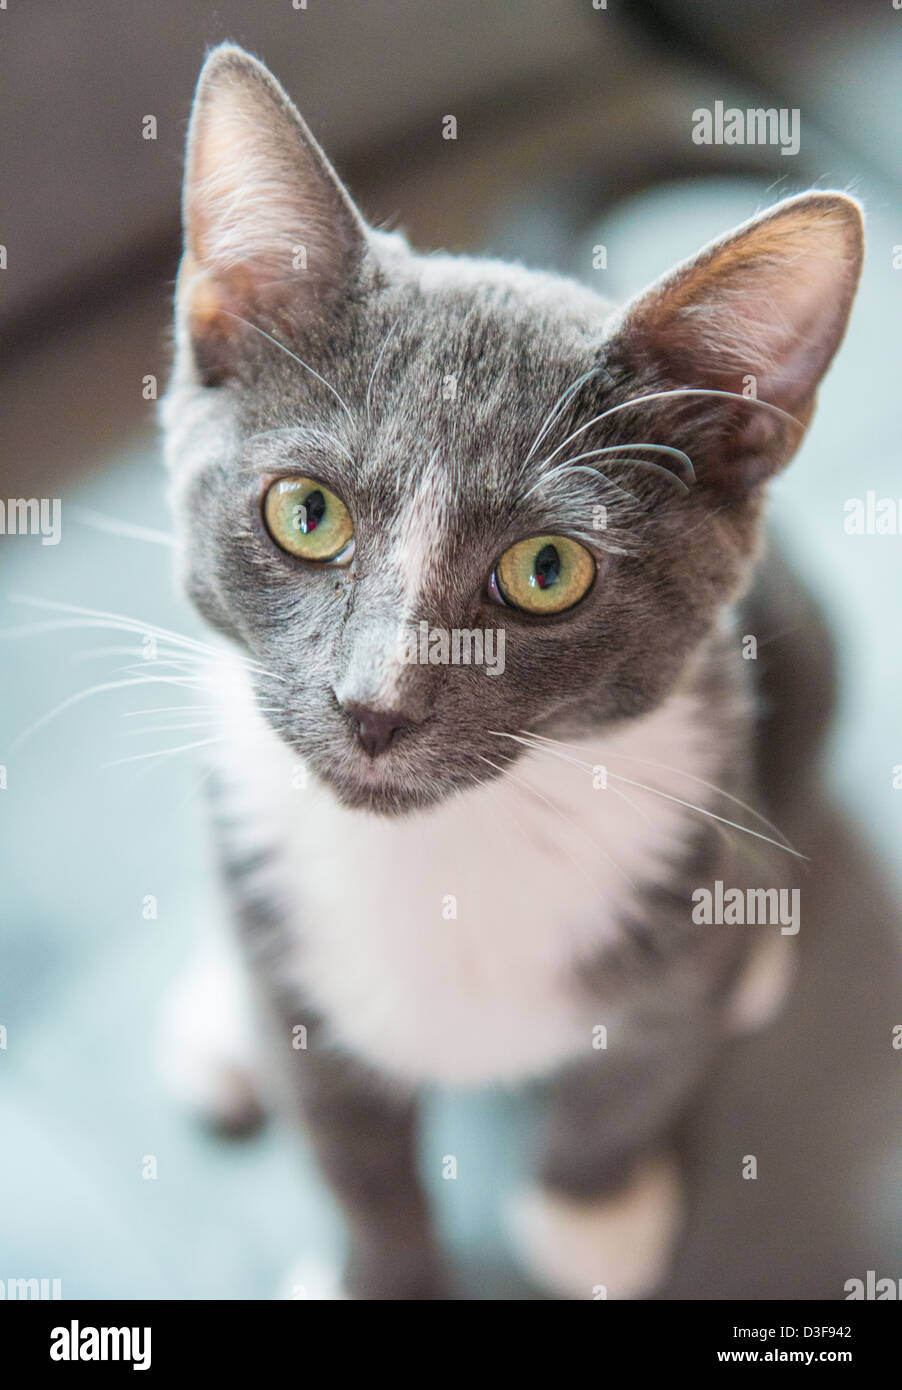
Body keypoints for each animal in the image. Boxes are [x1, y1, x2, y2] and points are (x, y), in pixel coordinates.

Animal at [158, 43, 861, 1295]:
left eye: (545, 569)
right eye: (305, 512)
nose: (372, 704)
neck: (447, 851)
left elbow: (628, 1084)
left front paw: (591, 1214)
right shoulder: (305, 1018)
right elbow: (351, 1159)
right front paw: (378, 1269)